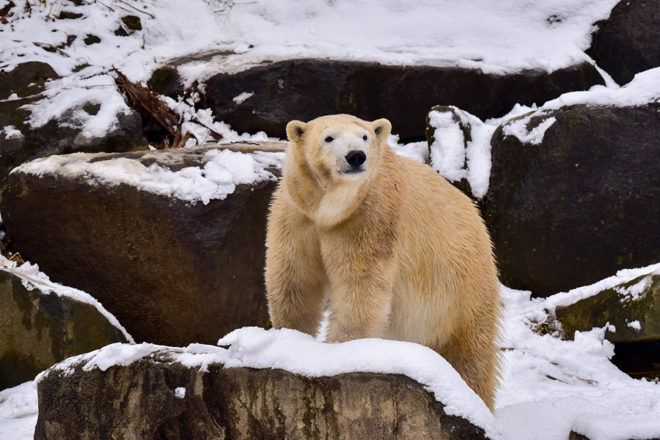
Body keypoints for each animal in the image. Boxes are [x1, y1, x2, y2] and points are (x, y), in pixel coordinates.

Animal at [262, 113, 500, 410]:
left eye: (364, 136)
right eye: (329, 137)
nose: (356, 156)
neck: (329, 210)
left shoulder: (371, 217)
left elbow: (359, 288)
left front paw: (338, 352)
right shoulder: (297, 216)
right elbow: (295, 280)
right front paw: (291, 341)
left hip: (463, 286)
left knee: (471, 354)